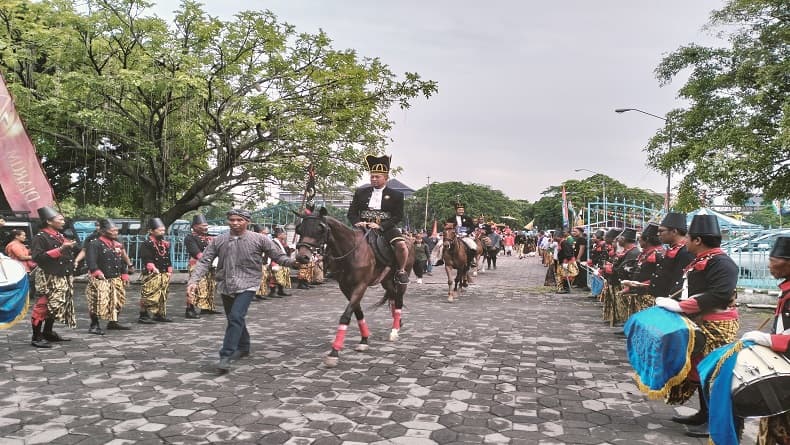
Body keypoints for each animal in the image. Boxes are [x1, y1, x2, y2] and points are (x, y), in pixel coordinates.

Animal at [290, 208, 414, 368]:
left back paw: (395, 330)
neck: (350, 251)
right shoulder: (345, 287)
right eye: (299, 229)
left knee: (398, 298)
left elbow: (346, 315)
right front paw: (364, 339)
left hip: (402, 275)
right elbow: (357, 312)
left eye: (319, 229)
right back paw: (398, 322)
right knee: (392, 295)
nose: (302, 257)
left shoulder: (361, 285)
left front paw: (334, 352)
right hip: (386, 280)